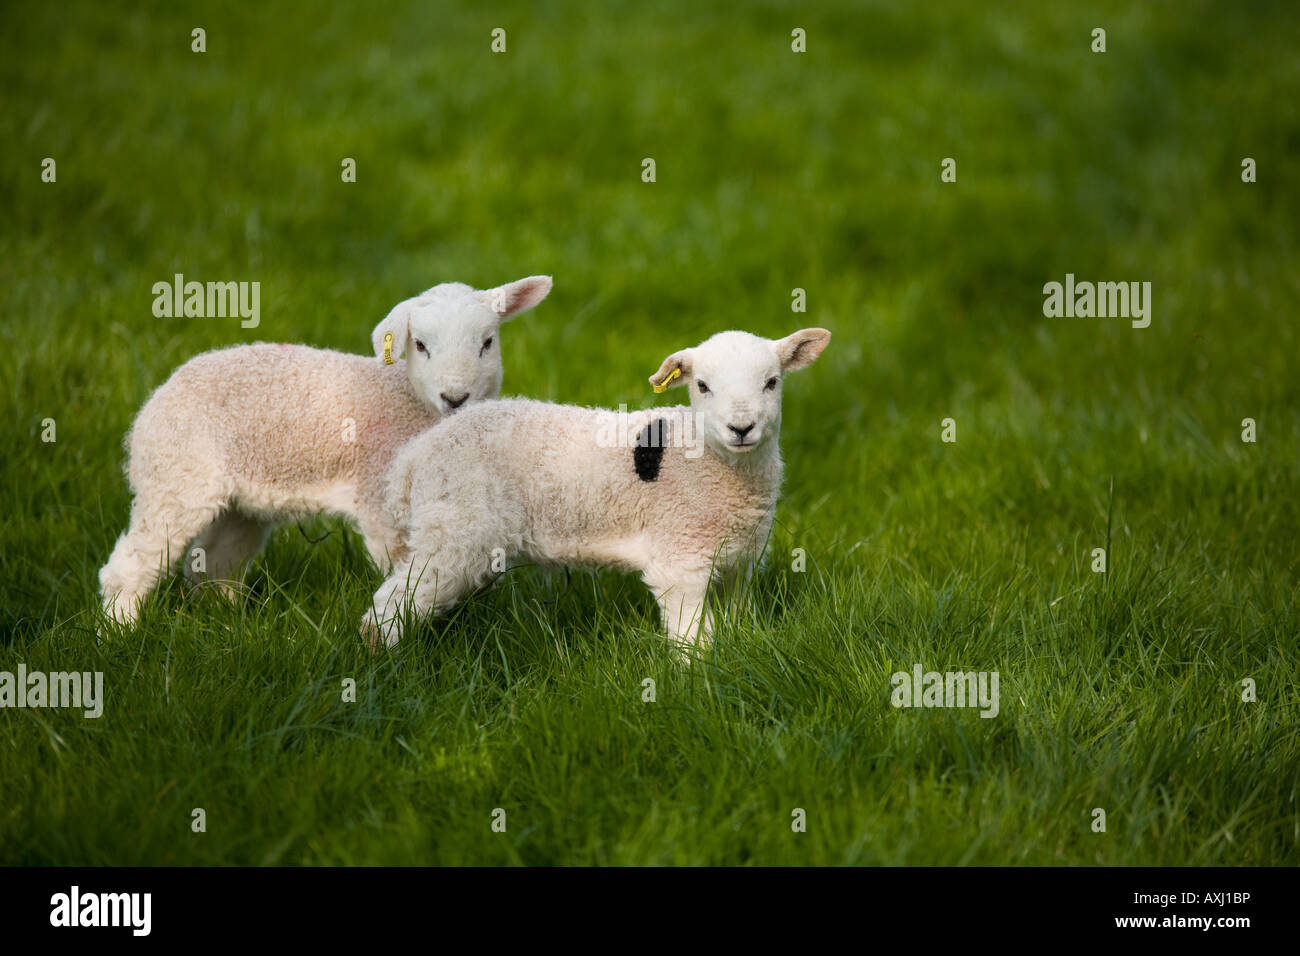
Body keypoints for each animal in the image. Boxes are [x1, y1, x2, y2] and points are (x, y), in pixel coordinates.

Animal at [97, 274, 553, 629]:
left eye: (487, 343)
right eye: (421, 345)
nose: (455, 398)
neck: (407, 399)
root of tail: (152, 404)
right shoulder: (380, 497)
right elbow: (405, 573)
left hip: (238, 500)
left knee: (215, 562)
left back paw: (225, 622)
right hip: (176, 476)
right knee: (131, 563)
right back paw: (118, 631)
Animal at [364, 325, 832, 655]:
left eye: (772, 382)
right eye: (702, 386)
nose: (742, 428)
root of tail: (412, 459)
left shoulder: (741, 559)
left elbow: (735, 622)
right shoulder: (680, 556)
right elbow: (693, 639)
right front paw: (697, 679)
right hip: (454, 527)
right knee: (394, 602)